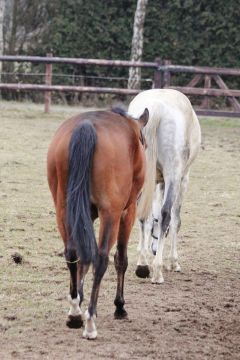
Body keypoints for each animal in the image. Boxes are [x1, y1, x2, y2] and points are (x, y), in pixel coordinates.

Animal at [47, 108, 148, 338]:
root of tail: (87, 125)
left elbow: (84, 258)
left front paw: (78, 299)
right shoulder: (126, 213)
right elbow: (120, 259)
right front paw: (119, 306)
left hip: (63, 208)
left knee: (72, 253)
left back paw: (75, 313)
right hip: (111, 213)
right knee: (102, 258)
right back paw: (90, 321)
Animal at [128, 88, 202, 284]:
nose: (154, 250)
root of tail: (156, 108)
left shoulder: (156, 182)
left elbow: (150, 216)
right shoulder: (182, 179)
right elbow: (174, 219)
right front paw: (173, 262)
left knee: (142, 214)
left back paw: (143, 265)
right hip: (174, 175)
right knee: (167, 214)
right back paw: (157, 272)